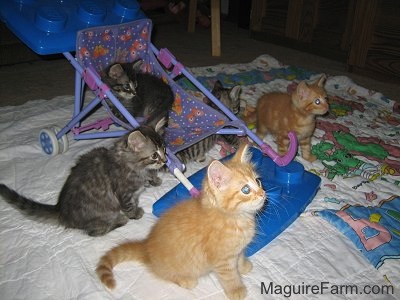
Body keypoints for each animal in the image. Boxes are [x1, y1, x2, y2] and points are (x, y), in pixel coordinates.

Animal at [0, 119, 166, 237]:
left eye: (164, 149)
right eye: (154, 155)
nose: (165, 161)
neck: (134, 166)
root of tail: (60, 210)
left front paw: (154, 180)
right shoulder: (124, 194)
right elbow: (129, 207)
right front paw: (135, 214)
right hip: (100, 215)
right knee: (94, 232)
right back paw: (119, 220)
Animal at [95, 144, 268, 298]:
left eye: (258, 182)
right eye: (245, 190)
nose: (263, 194)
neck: (235, 218)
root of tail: (146, 247)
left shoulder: (237, 250)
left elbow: (240, 259)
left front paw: (244, 267)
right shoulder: (222, 261)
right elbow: (230, 277)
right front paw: (237, 291)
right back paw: (186, 281)